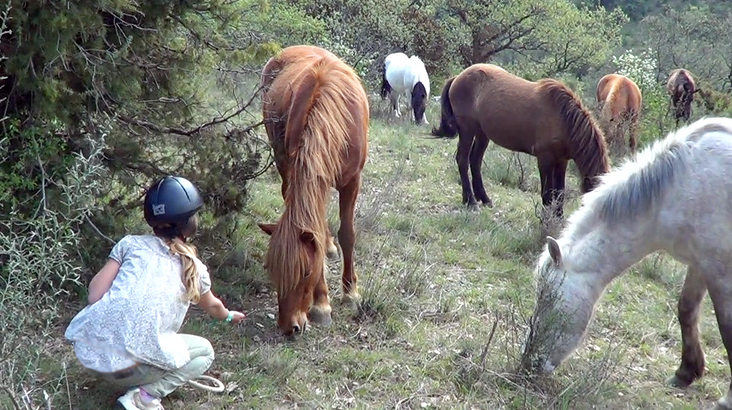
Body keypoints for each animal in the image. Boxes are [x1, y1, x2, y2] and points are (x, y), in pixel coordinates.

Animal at [258, 45, 369, 336]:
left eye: (305, 273)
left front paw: (350, 292)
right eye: (273, 270)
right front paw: (322, 304)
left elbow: (347, 234)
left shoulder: (352, 181)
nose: (289, 327)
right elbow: (316, 231)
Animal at [431, 63, 610, 217]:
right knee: (462, 159)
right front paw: (546, 220)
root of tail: (458, 77)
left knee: (475, 161)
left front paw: (558, 220)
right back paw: (471, 201)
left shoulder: (562, 160)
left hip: (482, 134)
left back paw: (484, 199)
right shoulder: (545, 159)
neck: (562, 119)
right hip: (467, 130)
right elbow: (547, 193)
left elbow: (559, 193)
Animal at [523, 117, 732, 410]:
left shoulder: (720, 270)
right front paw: (686, 372)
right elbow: (686, 310)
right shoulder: (700, 264)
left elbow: (727, 327)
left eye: (548, 299)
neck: (685, 184)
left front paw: (727, 399)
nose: (529, 361)